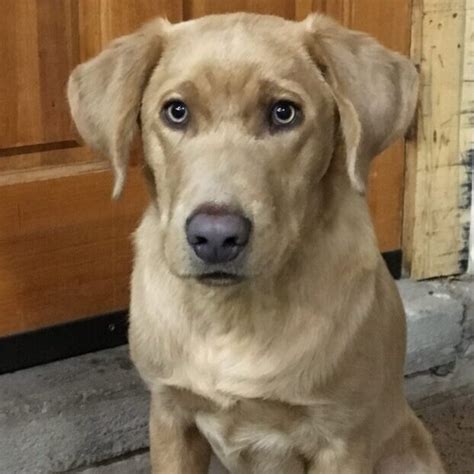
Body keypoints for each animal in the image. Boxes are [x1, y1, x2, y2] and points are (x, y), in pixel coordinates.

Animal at [68, 12, 446, 472]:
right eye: (176, 111)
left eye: (284, 113)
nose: (215, 236)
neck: (232, 316)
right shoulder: (170, 416)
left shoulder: (342, 440)